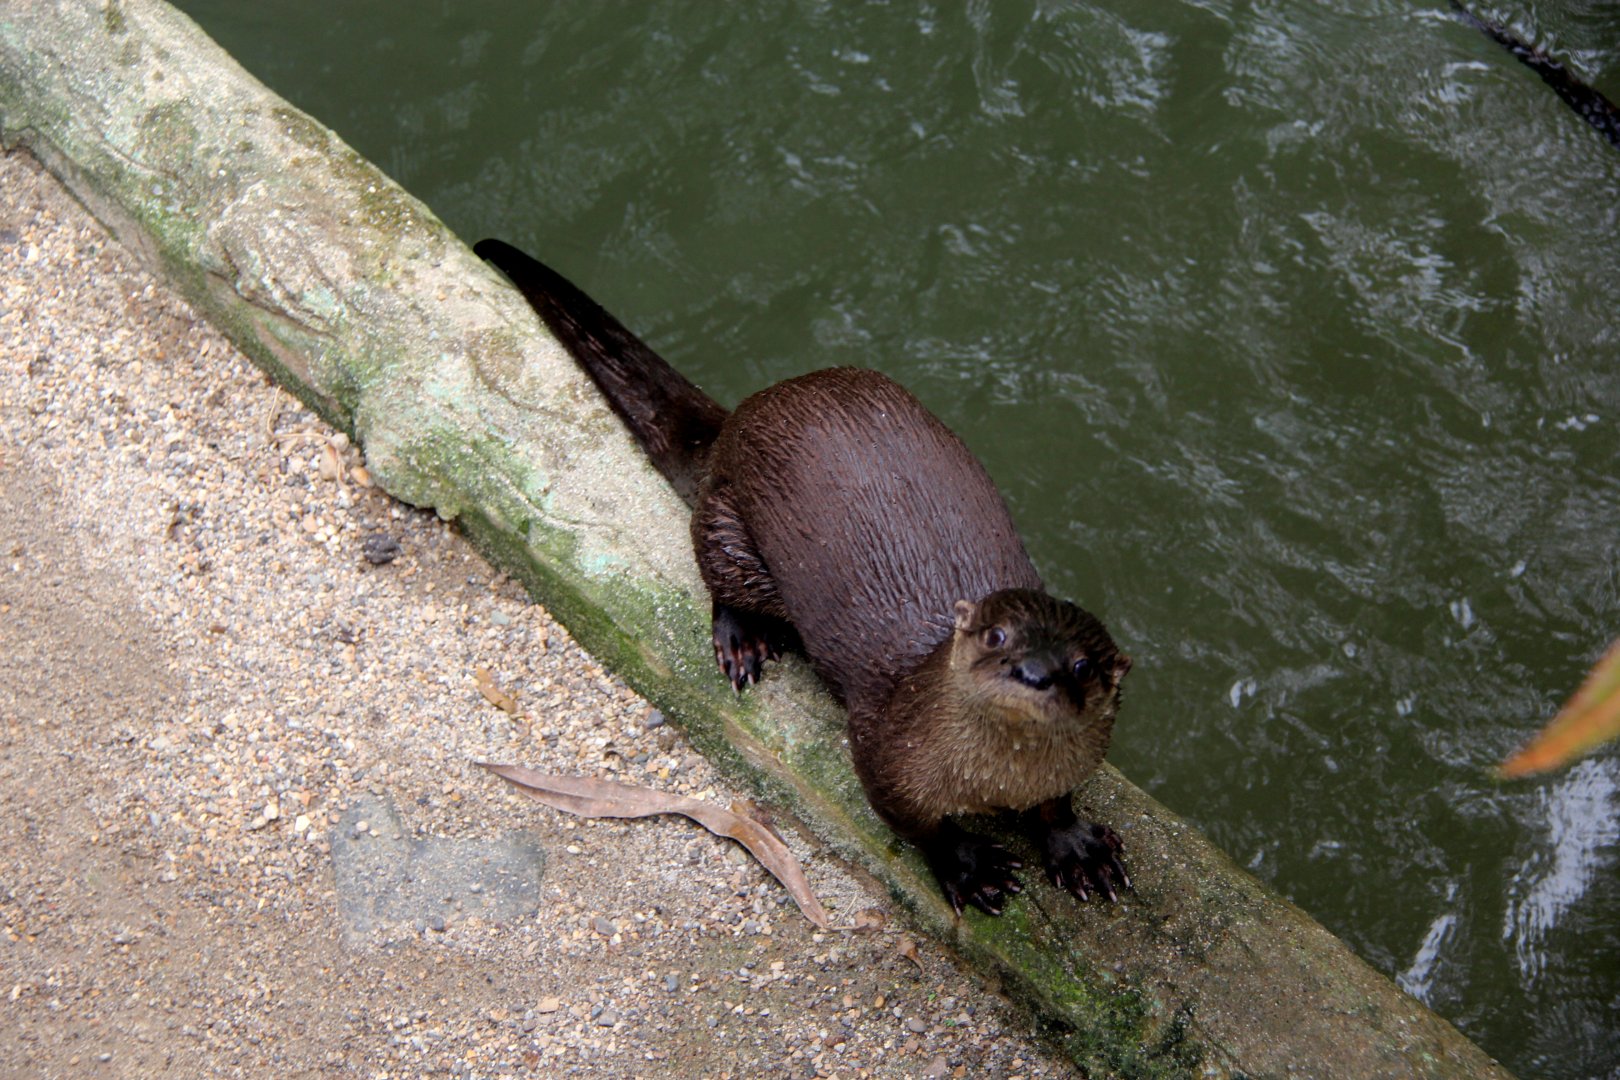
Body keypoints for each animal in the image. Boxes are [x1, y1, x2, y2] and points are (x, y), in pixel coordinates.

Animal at [475, 239, 1132, 915]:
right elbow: (918, 825)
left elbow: (1055, 805)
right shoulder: (885, 754)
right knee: (714, 566)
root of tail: (739, 421)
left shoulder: (1069, 765)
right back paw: (742, 641)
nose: (1032, 673)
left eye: (1081, 665)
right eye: (996, 636)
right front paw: (970, 865)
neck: (994, 782)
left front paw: (1078, 847)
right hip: (730, 523)